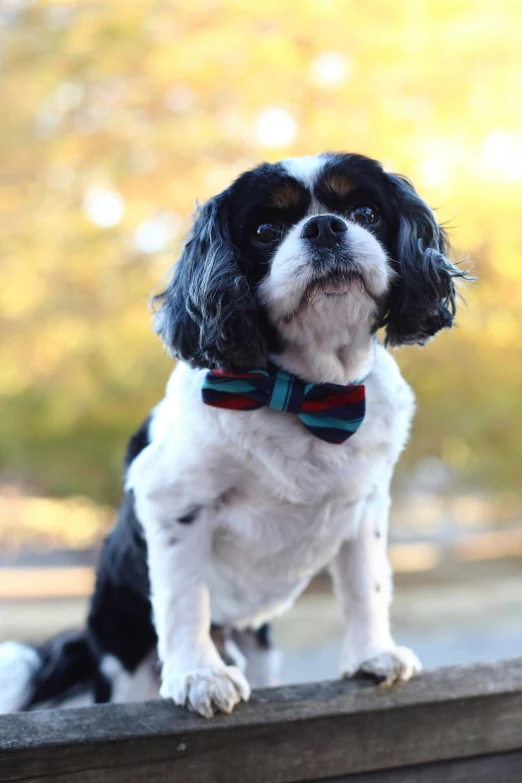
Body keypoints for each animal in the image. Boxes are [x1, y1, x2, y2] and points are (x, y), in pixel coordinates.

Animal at [0, 152, 466, 716]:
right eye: (265, 230)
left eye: (365, 213)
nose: (326, 227)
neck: (304, 390)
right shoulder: (173, 501)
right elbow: (183, 598)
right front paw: (198, 675)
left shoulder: (365, 506)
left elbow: (366, 585)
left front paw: (371, 655)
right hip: (124, 661)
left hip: (261, 653)